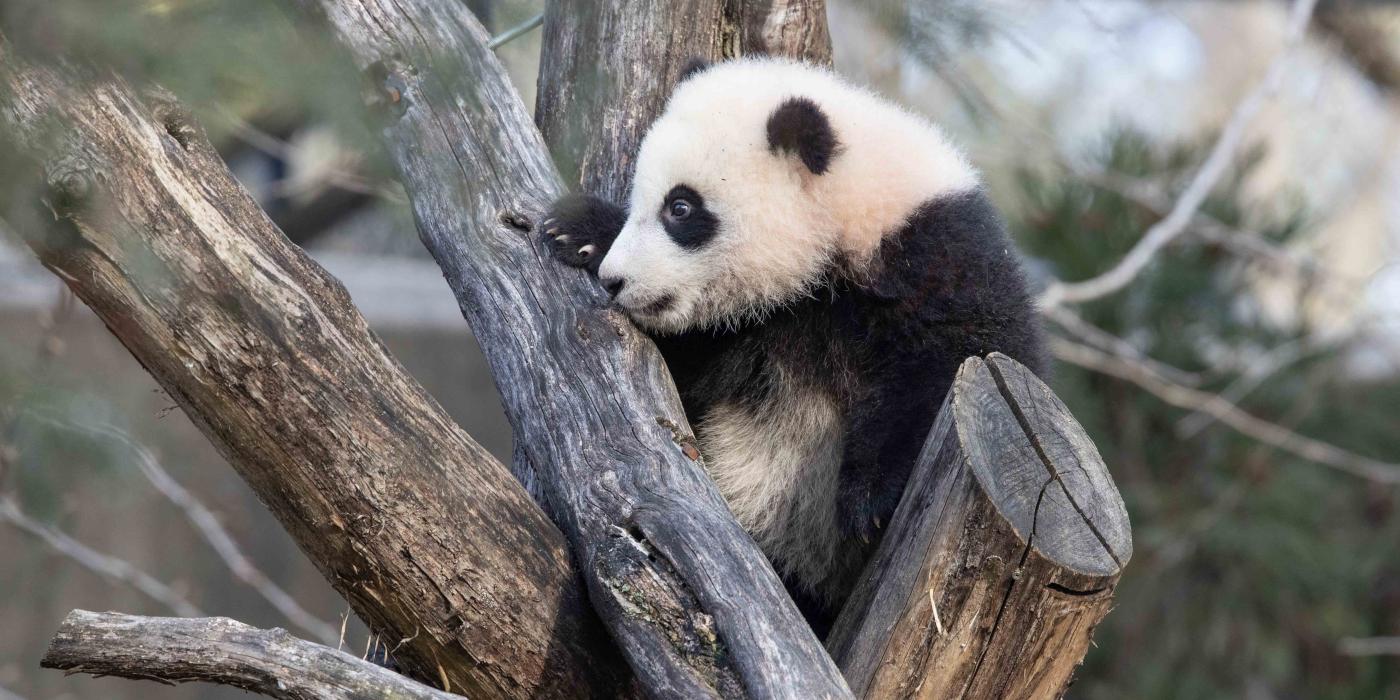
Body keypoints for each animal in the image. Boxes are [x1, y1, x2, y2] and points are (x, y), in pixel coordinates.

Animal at [540, 56, 1047, 635]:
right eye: (641, 199)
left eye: (681, 208)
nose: (615, 280)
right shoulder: (740, 335)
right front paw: (578, 228)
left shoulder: (939, 264)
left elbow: (950, 368)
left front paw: (871, 500)